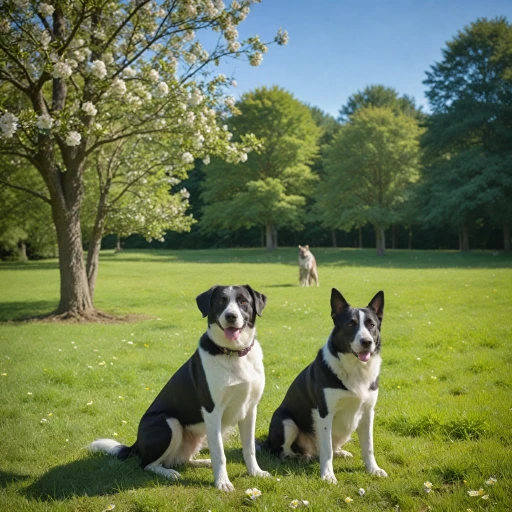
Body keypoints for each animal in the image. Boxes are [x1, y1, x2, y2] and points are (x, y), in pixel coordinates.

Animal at [89, 284, 270, 492]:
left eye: (243, 301)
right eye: (221, 301)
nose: (231, 316)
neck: (233, 354)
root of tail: (136, 444)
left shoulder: (250, 409)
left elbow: (249, 448)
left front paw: (255, 472)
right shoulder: (212, 411)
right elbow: (220, 453)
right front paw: (222, 482)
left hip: (199, 434)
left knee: (181, 458)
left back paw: (202, 462)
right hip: (169, 422)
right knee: (148, 464)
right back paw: (170, 473)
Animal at [264, 288, 388, 484]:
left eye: (371, 325)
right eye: (351, 324)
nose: (367, 342)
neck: (354, 369)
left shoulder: (368, 413)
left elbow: (369, 446)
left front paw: (373, 469)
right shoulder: (324, 414)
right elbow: (327, 449)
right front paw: (328, 475)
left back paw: (340, 452)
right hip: (285, 420)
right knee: (285, 452)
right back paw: (300, 457)